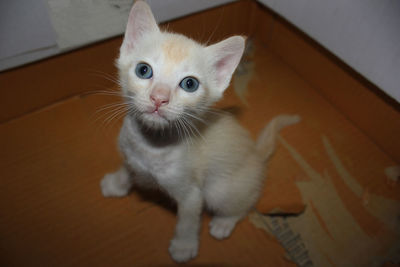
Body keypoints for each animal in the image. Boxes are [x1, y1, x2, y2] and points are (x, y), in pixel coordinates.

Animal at [100, 0, 300, 264]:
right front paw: (117, 183)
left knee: (245, 203)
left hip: (221, 190)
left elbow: (188, 221)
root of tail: (256, 154)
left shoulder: (192, 195)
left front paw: (184, 247)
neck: (151, 146)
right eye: (144, 70)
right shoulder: (130, 153)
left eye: (189, 84)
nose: (159, 98)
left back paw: (224, 223)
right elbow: (128, 168)